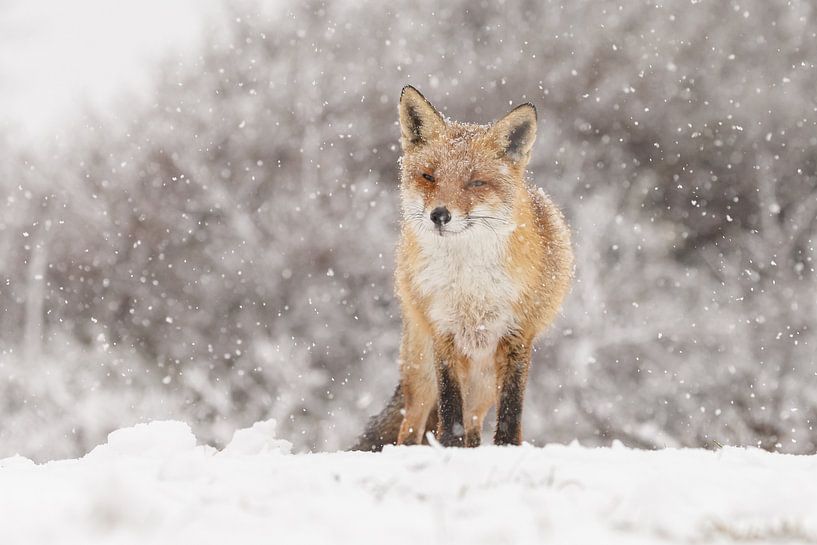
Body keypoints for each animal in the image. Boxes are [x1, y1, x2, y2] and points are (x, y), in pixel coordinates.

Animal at [352, 87, 572, 448]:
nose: (439, 215)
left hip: (483, 381)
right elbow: (449, 407)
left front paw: (506, 449)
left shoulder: (517, 336)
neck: (470, 287)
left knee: (473, 424)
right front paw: (447, 447)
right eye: (429, 176)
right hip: (423, 370)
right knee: (410, 426)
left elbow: (510, 411)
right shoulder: (444, 334)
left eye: (475, 183)